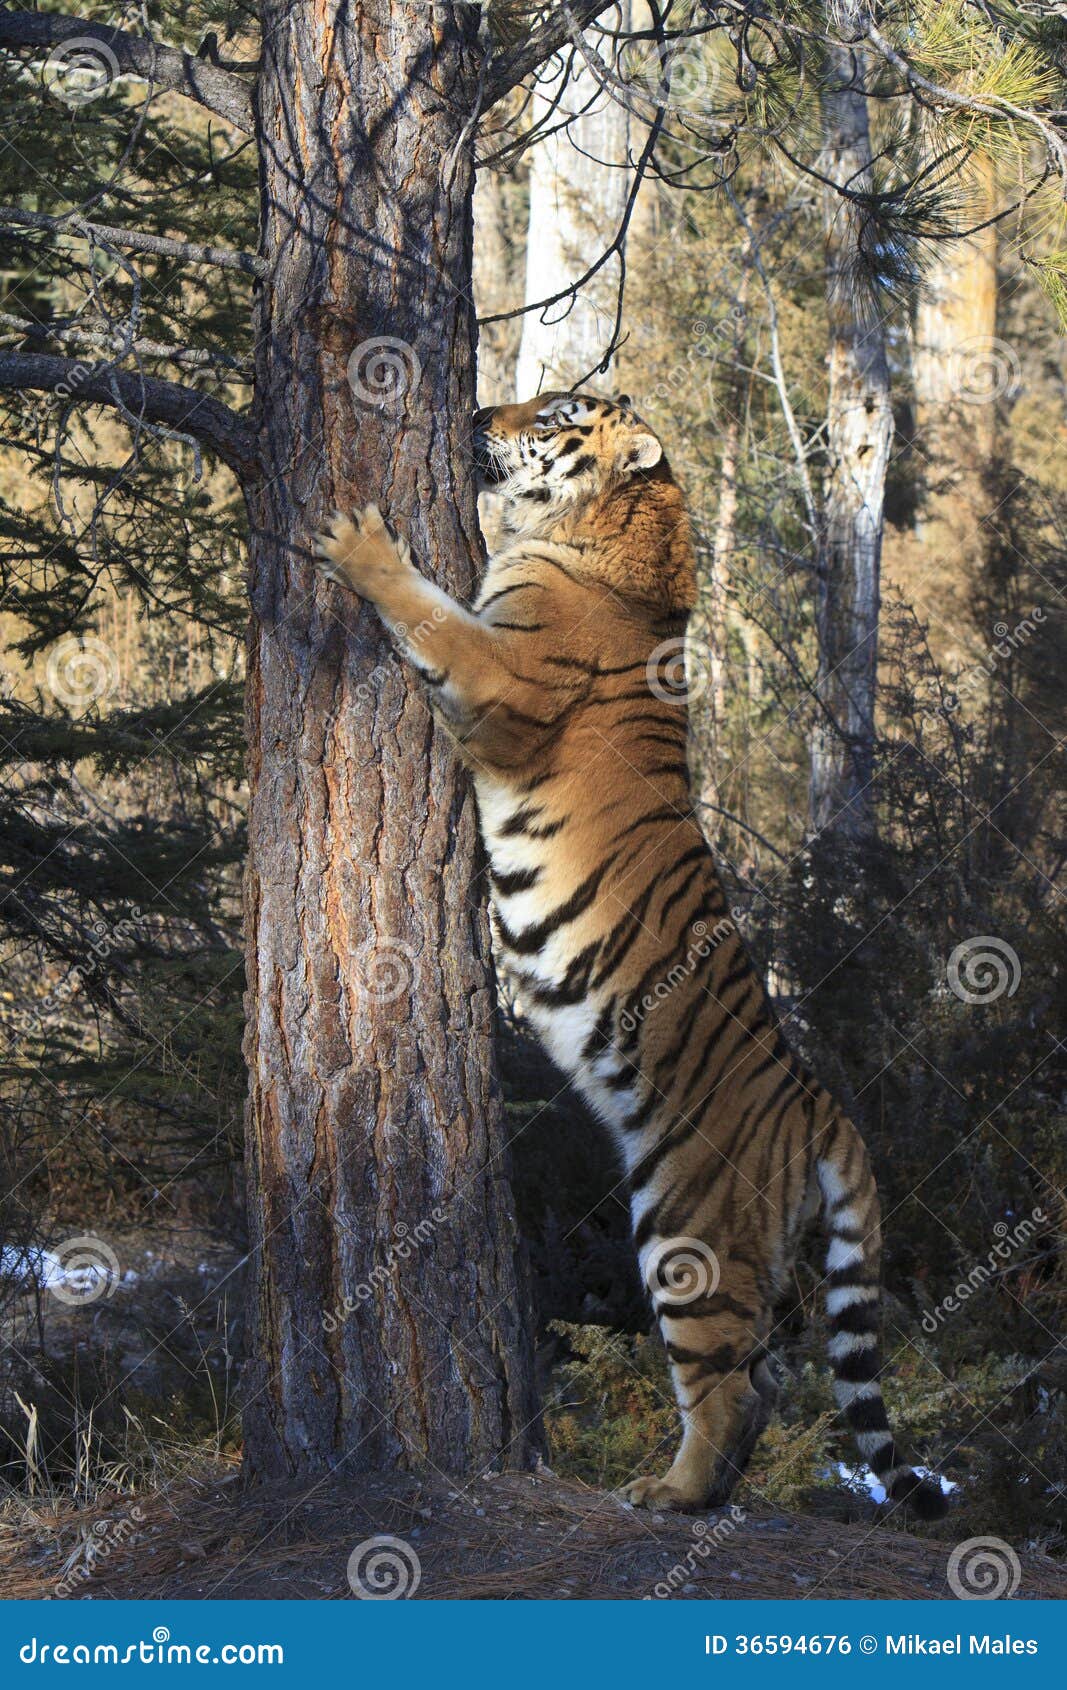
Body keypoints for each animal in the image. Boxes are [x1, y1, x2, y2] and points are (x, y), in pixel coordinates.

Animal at [312, 392, 946, 1521]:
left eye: (559, 410)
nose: (482, 410)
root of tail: (822, 1104)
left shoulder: (498, 675)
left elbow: (428, 610)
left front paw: (359, 542)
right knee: (767, 1378)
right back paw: (705, 1492)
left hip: (687, 1228)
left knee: (731, 1379)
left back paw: (670, 1494)